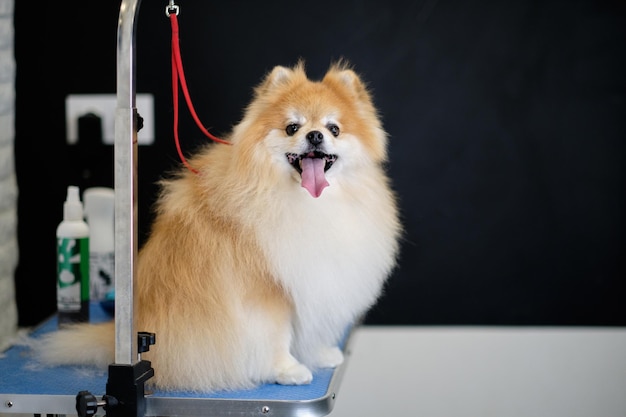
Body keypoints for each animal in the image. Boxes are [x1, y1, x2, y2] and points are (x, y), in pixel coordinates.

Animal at [35, 60, 400, 392]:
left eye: (333, 128)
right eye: (292, 128)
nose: (314, 135)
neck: (308, 202)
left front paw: (320, 353)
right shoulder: (264, 289)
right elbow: (275, 333)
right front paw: (287, 369)